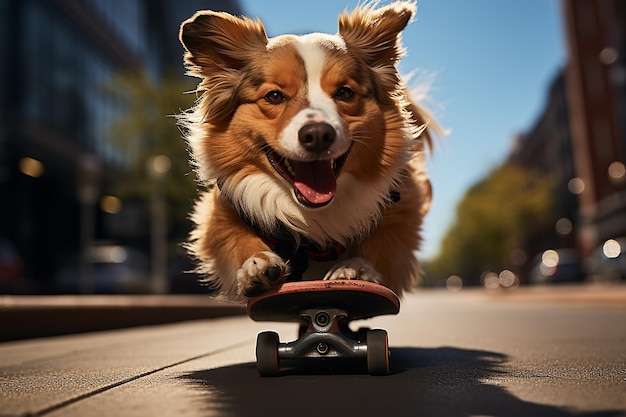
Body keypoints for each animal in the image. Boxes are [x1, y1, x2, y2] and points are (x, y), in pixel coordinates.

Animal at [179, 1, 434, 304]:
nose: (318, 134)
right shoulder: (218, 210)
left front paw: (357, 267)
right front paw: (255, 264)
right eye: (274, 96)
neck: (311, 213)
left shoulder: (403, 204)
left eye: (345, 93)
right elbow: (233, 234)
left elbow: (382, 241)